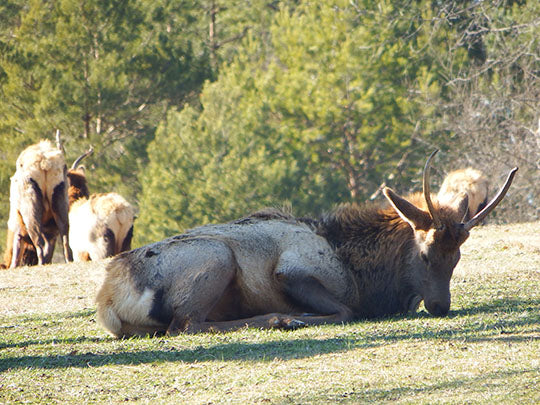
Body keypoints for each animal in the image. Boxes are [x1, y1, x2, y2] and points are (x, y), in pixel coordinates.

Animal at [0, 137, 72, 266]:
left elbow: (16, 256)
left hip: (30, 203)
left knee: (38, 241)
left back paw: (41, 262)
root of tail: (44, 162)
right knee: (65, 236)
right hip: (60, 195)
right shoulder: (51, 232)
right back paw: (68, 260)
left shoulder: (18, 228)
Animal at [95, 150, 516, 336]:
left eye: (457, 258)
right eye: (426, 255)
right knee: (185, 325)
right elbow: (346, 310)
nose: (441, 306)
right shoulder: (291, 270)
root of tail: (108, 300)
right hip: (217, 256)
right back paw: (281, 319)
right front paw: (298, 315)